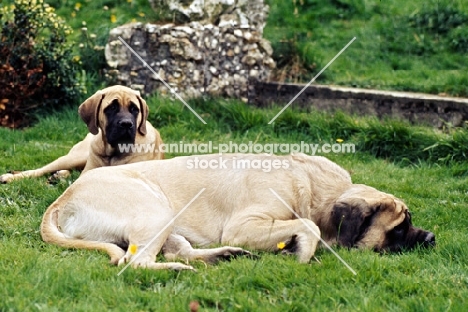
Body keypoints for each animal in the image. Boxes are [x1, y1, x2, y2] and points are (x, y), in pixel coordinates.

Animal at [0, 85, 164, 183]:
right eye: (111, 108)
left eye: (134, 109)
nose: (126, 124)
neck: (113, 153)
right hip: (74, 157)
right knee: (40, 170)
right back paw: (11, 177)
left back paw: (59, 176)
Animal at [40, 154, 436, 270]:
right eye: (400, 228)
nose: (432, 237)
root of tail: (61, 200)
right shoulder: (246, 223)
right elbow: (308, 226)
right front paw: (302, 252)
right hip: (155, 208)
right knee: (136, 262)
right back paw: (179, 270)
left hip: (167, 222)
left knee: (179, 250)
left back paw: (224, 256)